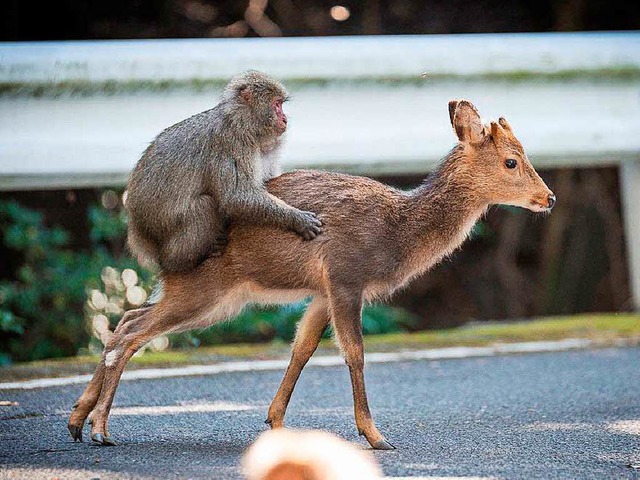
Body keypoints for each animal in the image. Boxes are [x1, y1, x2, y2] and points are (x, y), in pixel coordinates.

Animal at [67, 100, 552, 450]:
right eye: (512, 161)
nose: (548, 197)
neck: (397, 231)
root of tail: (160, 252)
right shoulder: (345, 275)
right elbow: (354, 352)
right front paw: (376, 436)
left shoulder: (321, 291)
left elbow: (301, 348)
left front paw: (276, 422)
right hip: (205, 288)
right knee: (131, 332)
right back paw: (100, 429)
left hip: (212, 297)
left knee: (126, 321)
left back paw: (76, 420)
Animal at [124, 71, 322, 274]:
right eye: (277, 104)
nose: (285, 119)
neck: (243, 122)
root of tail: (138, 229)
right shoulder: (231, 143)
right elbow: (236, 197)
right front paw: (297, 219)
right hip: (162, 229)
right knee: (204, 205)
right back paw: (180, 261)